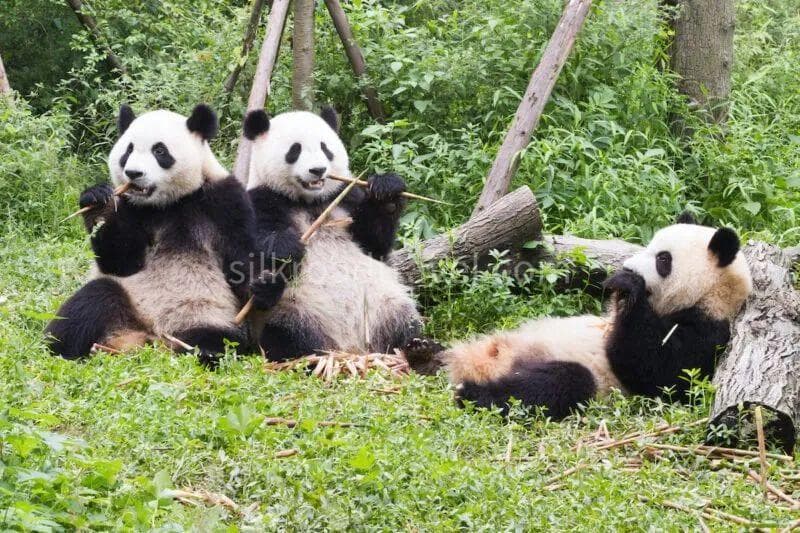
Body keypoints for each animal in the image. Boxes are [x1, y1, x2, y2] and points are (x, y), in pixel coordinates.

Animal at [45, 104, 254, 365]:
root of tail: (148, 337)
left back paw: (205, 350)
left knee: (220, 339)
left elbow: (242, 261)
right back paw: (61, 349)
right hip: (128, 299)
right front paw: (97, 200)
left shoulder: (224, 201)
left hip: (204, 315)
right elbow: (121, 262)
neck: (167, 204)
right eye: (128, 150)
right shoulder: (131, 208)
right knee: (91, 300)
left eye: (160, 151)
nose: (133, 173)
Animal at [241, 107, 422, 361]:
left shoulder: (345, 196)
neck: (310, 202)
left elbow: (374, 243)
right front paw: (286, 249)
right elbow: (248, 253)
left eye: (325, 148)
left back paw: (419, 348)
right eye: (294, 150)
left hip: (383, 305)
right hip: (298, 311)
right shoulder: (262, 199)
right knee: (287, 337)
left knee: (404, 323)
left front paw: (387, 192)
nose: (318, 170)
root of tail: (351, 349)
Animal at [415, 215, 753, 419]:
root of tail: (477, 365)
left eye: (663, 260)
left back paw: (471, 393)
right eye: (649, 246)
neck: (711, 295)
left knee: (556, 384)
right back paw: (423, 353)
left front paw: (627, 286)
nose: (627, 267)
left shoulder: (707, 332)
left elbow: (657, 372)